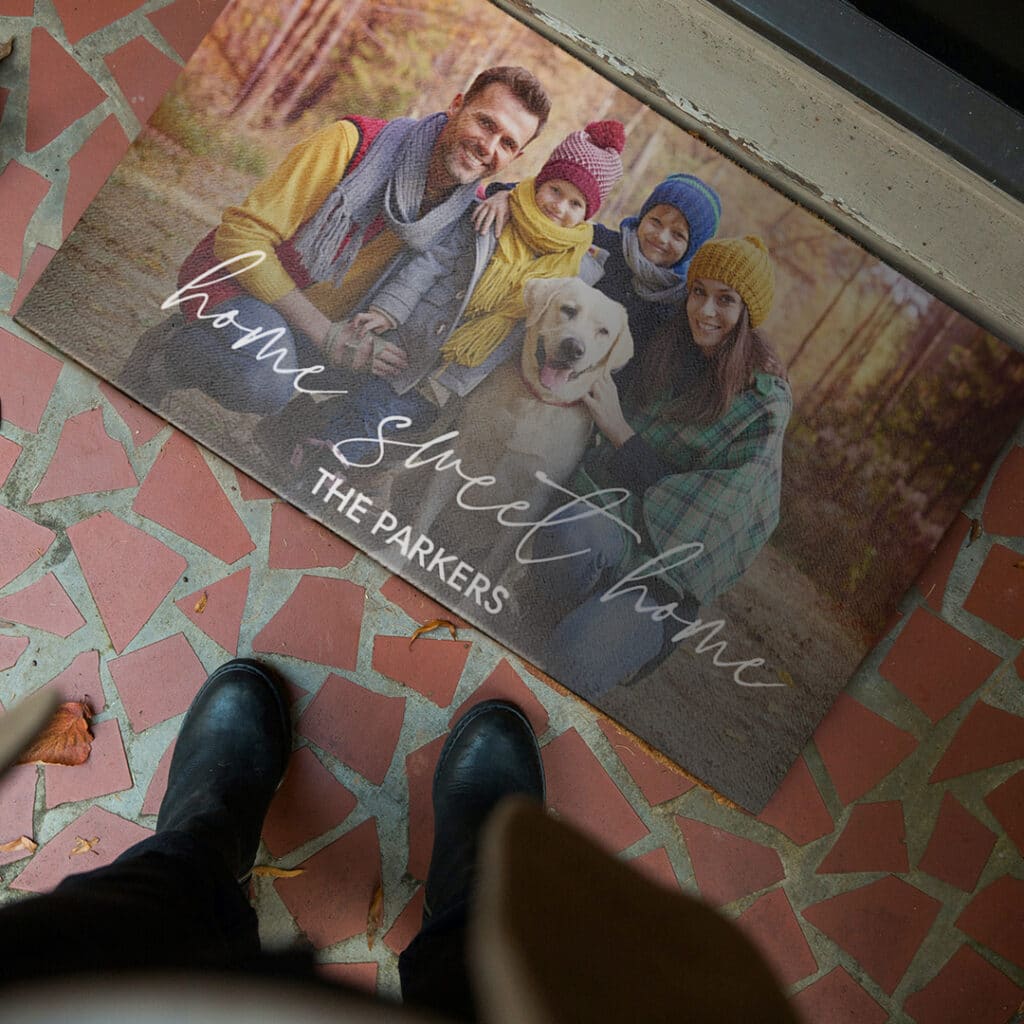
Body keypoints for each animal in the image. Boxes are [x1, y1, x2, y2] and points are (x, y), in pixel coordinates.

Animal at [407, 276, 630, 573]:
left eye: (603, 331)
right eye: (568, 310)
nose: (573, 348)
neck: (536, 400)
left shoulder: (534, 499)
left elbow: (496, 560)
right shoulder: (462, 451)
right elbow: (423, 514)